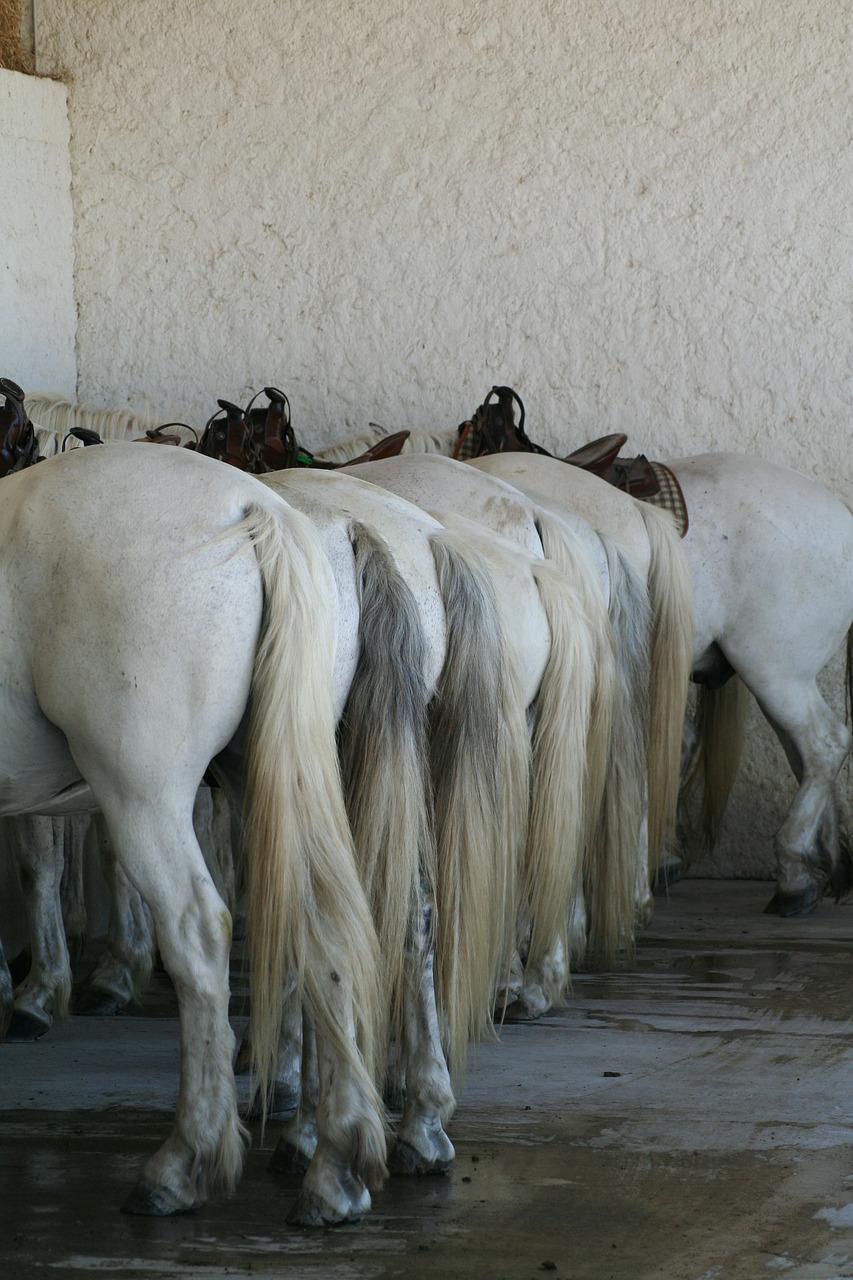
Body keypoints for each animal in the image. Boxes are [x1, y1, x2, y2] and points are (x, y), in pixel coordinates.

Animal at [0, 445, 384, 1223]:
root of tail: (254, 508)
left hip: (141, 795)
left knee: (198, 931)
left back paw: (183, 1163)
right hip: (272, 784)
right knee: (320, 922)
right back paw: (335, 1164)